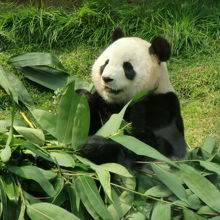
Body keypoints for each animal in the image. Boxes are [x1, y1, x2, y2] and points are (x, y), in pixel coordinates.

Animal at [78, 28, 186, 168]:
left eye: (127, 67)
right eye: (106, 63)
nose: (106, 78)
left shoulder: (162, 105)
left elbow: (148, 147)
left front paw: (93, 145)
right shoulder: (104, 103)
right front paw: (82, 98)